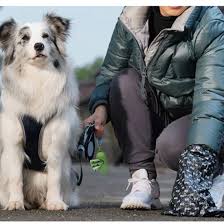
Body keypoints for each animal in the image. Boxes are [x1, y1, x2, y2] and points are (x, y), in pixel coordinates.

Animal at [0, 13, 81, 210]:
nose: (39, 46)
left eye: (46, 36)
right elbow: (15, 177)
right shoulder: (14, 142)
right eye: (25, 38)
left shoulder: (56, 143)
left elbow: (54, 177)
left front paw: (55, 203)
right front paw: (15, 202)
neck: (38, 75)